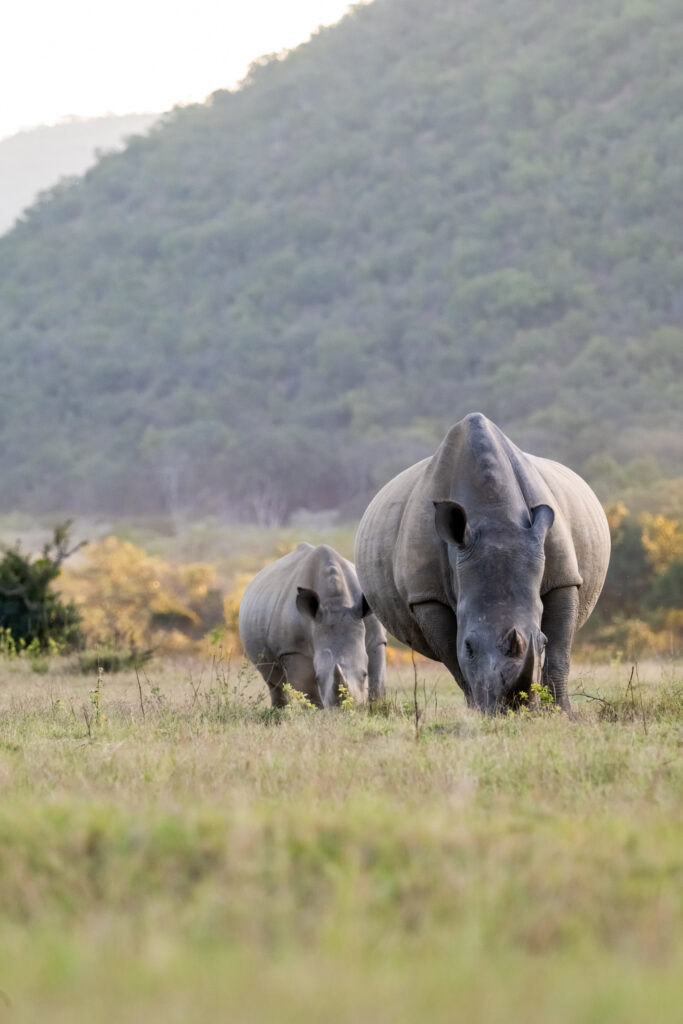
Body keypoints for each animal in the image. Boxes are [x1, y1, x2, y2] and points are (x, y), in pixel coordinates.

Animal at [236, 544, 385, 704]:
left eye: (364, 674)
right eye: (318, 678)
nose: (343, 707)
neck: (336, 603)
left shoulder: (376, 639)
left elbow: (377, 682)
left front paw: (375, 704)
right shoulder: (293, 649)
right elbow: (308, 692)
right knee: (273, 682)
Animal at [356, 409, 610, 712]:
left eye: (542, 641)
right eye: (469, 646)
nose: (512, 708)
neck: (495, 516)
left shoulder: (564, 578)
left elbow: (559, 654)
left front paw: (562, 713)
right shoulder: (426, 595)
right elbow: (453, 659)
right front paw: (478, 711)